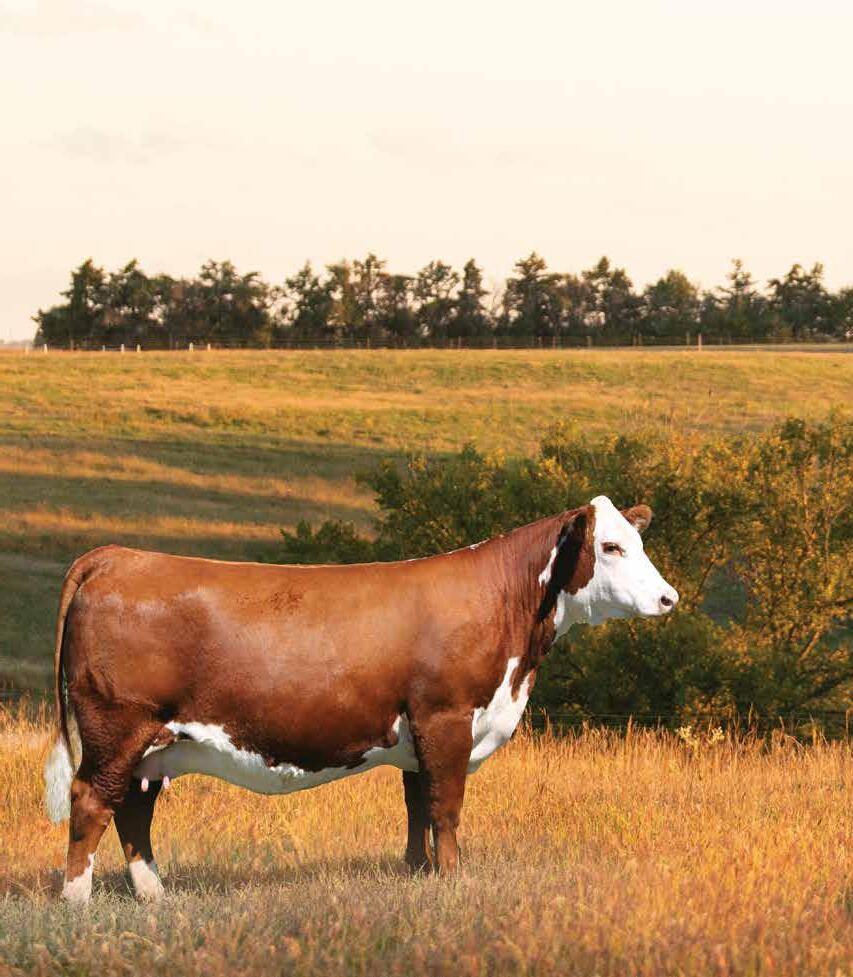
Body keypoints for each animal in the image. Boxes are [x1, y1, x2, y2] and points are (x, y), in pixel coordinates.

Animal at [43, 495, 678, 903]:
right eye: (612, 546)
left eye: (639, 541)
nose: (669, 598)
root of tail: (118, 555)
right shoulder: (447, 719)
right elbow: (446, 808)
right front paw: (453, 883)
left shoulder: (420, 733)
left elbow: (417, 807)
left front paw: (418, 875)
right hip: (118, 727)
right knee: (91, 800)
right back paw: (77, 902)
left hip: (156, 743)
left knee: (133, 809)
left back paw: (155, 896)